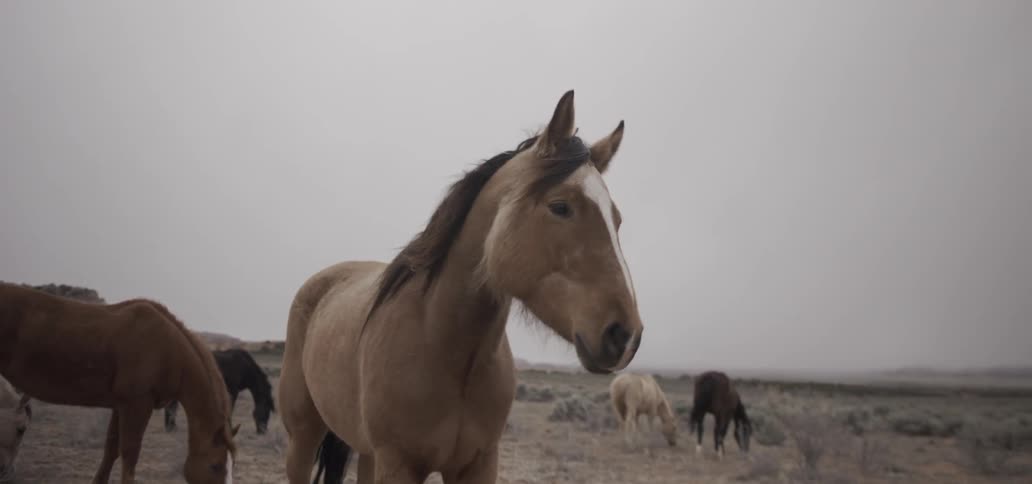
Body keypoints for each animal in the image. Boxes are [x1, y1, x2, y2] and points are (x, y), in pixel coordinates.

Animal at [0, 283, 240, 483]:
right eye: (215, 466)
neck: (168, 350)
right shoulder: (137, 406)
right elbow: (130, 455)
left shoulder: (121, 405)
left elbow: (111, 449)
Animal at [279, 90, 643, 483]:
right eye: (560, 206)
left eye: (617, 219)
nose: (625, 335)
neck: (440, 342)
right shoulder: (398, 463)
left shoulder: (479, 462)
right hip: (304, 435)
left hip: (366, 452)